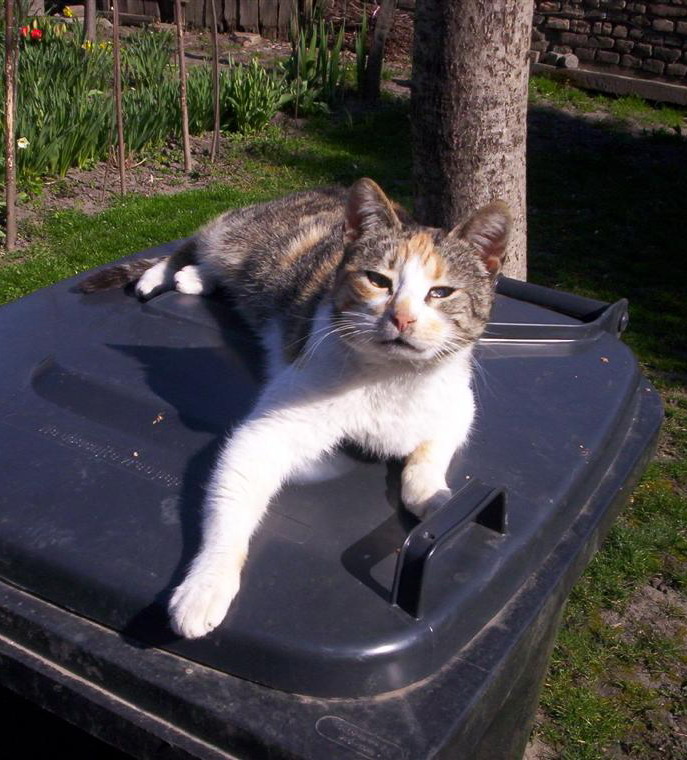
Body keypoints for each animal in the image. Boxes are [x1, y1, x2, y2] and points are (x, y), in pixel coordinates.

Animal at [80, 181, 510, 640]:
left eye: (441, 293)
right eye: (378, 281)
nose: (402, 318)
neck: (393, 377)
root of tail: (326, 188)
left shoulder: (460, 405)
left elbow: (429, 457)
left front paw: (434, 494)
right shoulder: (267, 432)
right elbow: (232, 502)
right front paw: (206, 584)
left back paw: (194, 278)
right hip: (234, 235)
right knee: (192, 245)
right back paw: (161, 274)